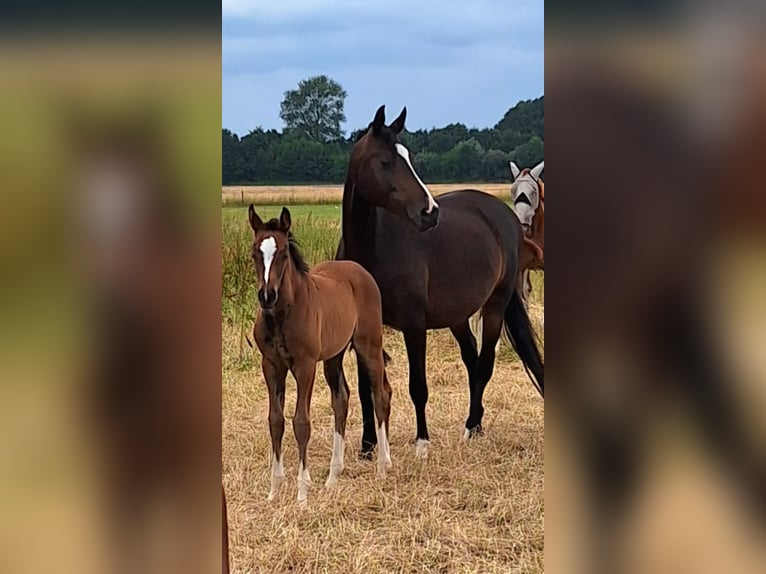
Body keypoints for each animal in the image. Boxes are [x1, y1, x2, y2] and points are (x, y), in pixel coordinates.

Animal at [249, 206, 393, 504]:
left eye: (283, 254)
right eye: (254, 253)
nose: (267, 296)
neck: (282, 315)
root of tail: (359, 270)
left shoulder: (305, 366)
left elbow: (301, 422)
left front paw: (302, 492)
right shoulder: (271, 365)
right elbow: (276, 421)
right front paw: (274, 491)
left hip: (369, 346)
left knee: (381, 394)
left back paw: (383, 466)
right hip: (334, 356)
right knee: (342, 400)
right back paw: (333, 476)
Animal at [336, 105, 544, 458]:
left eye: (409, 158)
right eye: (386, 161)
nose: (429, 212)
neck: (370, 252)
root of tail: (506, 217)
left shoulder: (414, 325)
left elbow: (417, 385)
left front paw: (422, 443)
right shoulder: (364, 327)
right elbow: (366, 386)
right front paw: (367, 447)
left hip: (495, 306)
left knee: (484, 363)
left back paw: (471, 426)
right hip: (457, 315)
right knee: (472, 360)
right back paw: (478, 425)